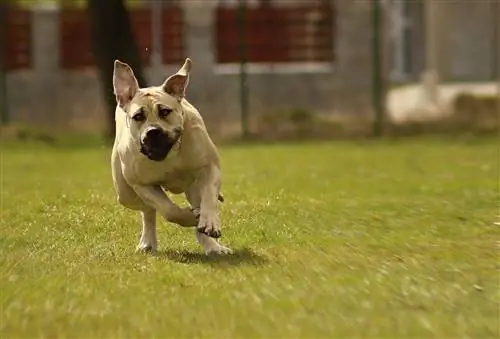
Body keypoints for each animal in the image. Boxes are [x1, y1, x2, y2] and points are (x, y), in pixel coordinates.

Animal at [110, 57, 231, 255]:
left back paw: (213, 246)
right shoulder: (142, 185)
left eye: (165, 112)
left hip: (193, 187)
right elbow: (168, 209)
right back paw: (147, 242)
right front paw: (188, 217)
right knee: (147, 211)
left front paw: (210, 222)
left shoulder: (209, 167)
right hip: (125, 194)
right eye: (138, 116)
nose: (152, 131)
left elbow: (208, 196)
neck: (168, 155)